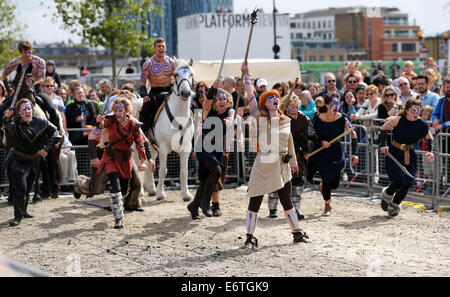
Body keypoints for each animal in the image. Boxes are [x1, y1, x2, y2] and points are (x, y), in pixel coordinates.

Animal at [141, 57, 195, 201]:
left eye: (191, 74)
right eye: (176, 74)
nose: (185, 93)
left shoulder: (186, 148)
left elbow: (184, 171)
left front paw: (186, 194)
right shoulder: (164, 148)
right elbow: (163, 170)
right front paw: (161, 194)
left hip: (152, 147)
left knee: (150, 163)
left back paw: (151, 189)